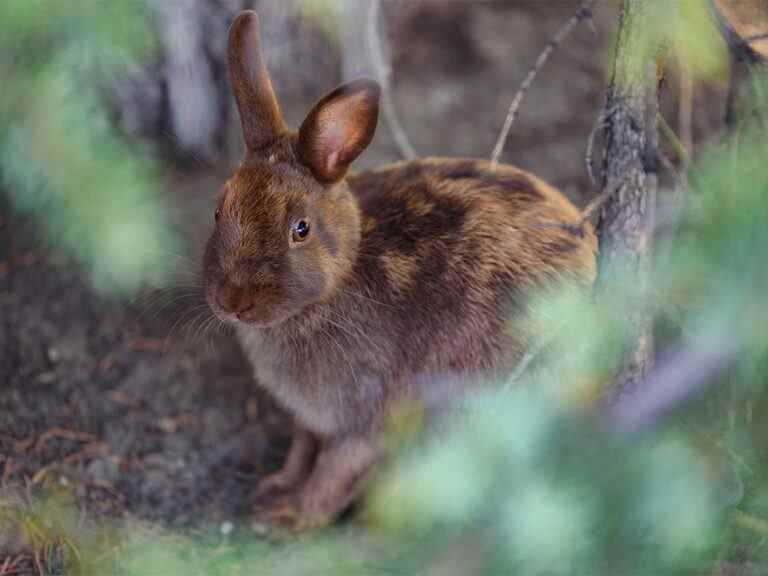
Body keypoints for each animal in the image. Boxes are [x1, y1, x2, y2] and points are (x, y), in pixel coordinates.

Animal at [201, 10, 596, 532]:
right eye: (219, 210)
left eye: (300, 229)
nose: (233, 302)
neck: (339, 279)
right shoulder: (311, 417)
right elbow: (303, 450)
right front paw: (276, 488)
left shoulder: (366, 415)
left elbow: (334, 470)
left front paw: (292, 517)